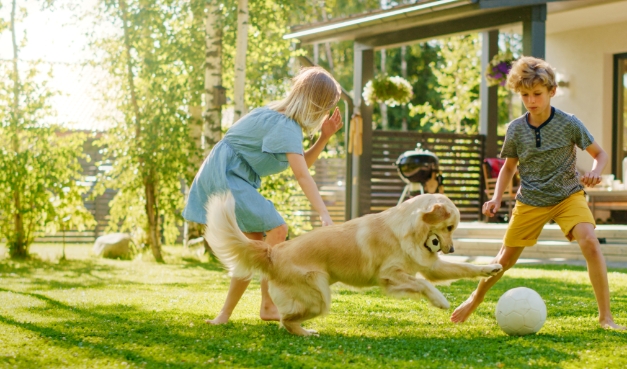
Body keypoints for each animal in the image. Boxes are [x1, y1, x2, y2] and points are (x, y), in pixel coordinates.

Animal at [205, 191, 500, 334]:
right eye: (449, 227)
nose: (451, 249)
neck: (407, 230)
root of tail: (273, 252)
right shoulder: (390, 274)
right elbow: (424, 285)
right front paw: (440, 300)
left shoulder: (428, 267)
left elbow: (465, 268)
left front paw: (491, 268)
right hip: (320, 296)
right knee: (286, 320)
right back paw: (306, 333)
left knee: (285, 319)